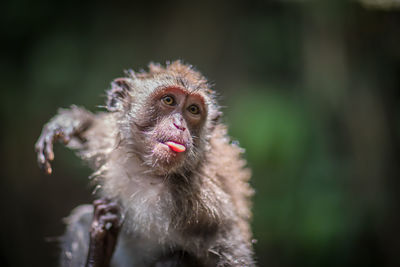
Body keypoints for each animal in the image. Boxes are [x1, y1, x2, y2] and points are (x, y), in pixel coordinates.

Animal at [33, 61, 253, 267]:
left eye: (193, 109)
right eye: (169, 100)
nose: (179, 126)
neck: (149, 173)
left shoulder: (206, 202)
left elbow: (232, 252)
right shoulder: (109, 142)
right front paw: (71, 122)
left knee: (174, 259)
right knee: (81, 219)